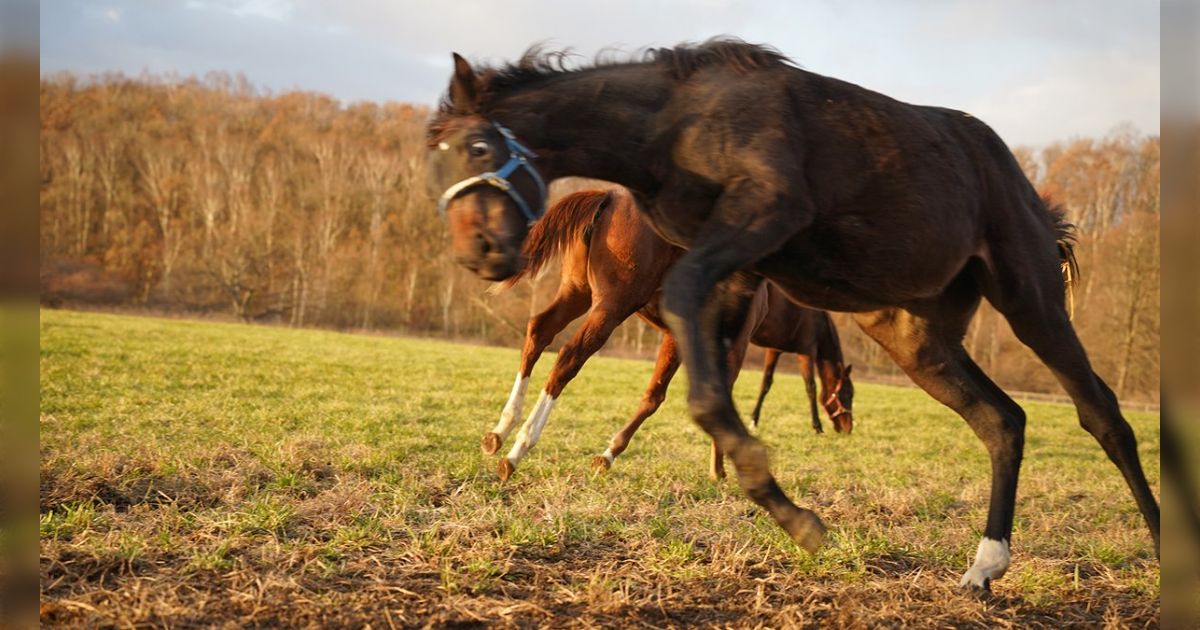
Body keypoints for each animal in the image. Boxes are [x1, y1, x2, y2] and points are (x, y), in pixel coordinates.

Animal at [486, 187, 855, 482]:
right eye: (848, 394)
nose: (847, 428)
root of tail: (610, 196)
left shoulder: (677, 338)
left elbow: (654, 396)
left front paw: (607, 455)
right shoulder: (734, 347)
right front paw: (719, 468)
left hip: (578, 292)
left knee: (539, 331)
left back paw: (500, 430)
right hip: (612, 306)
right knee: (569, 357)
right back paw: (519, 447)